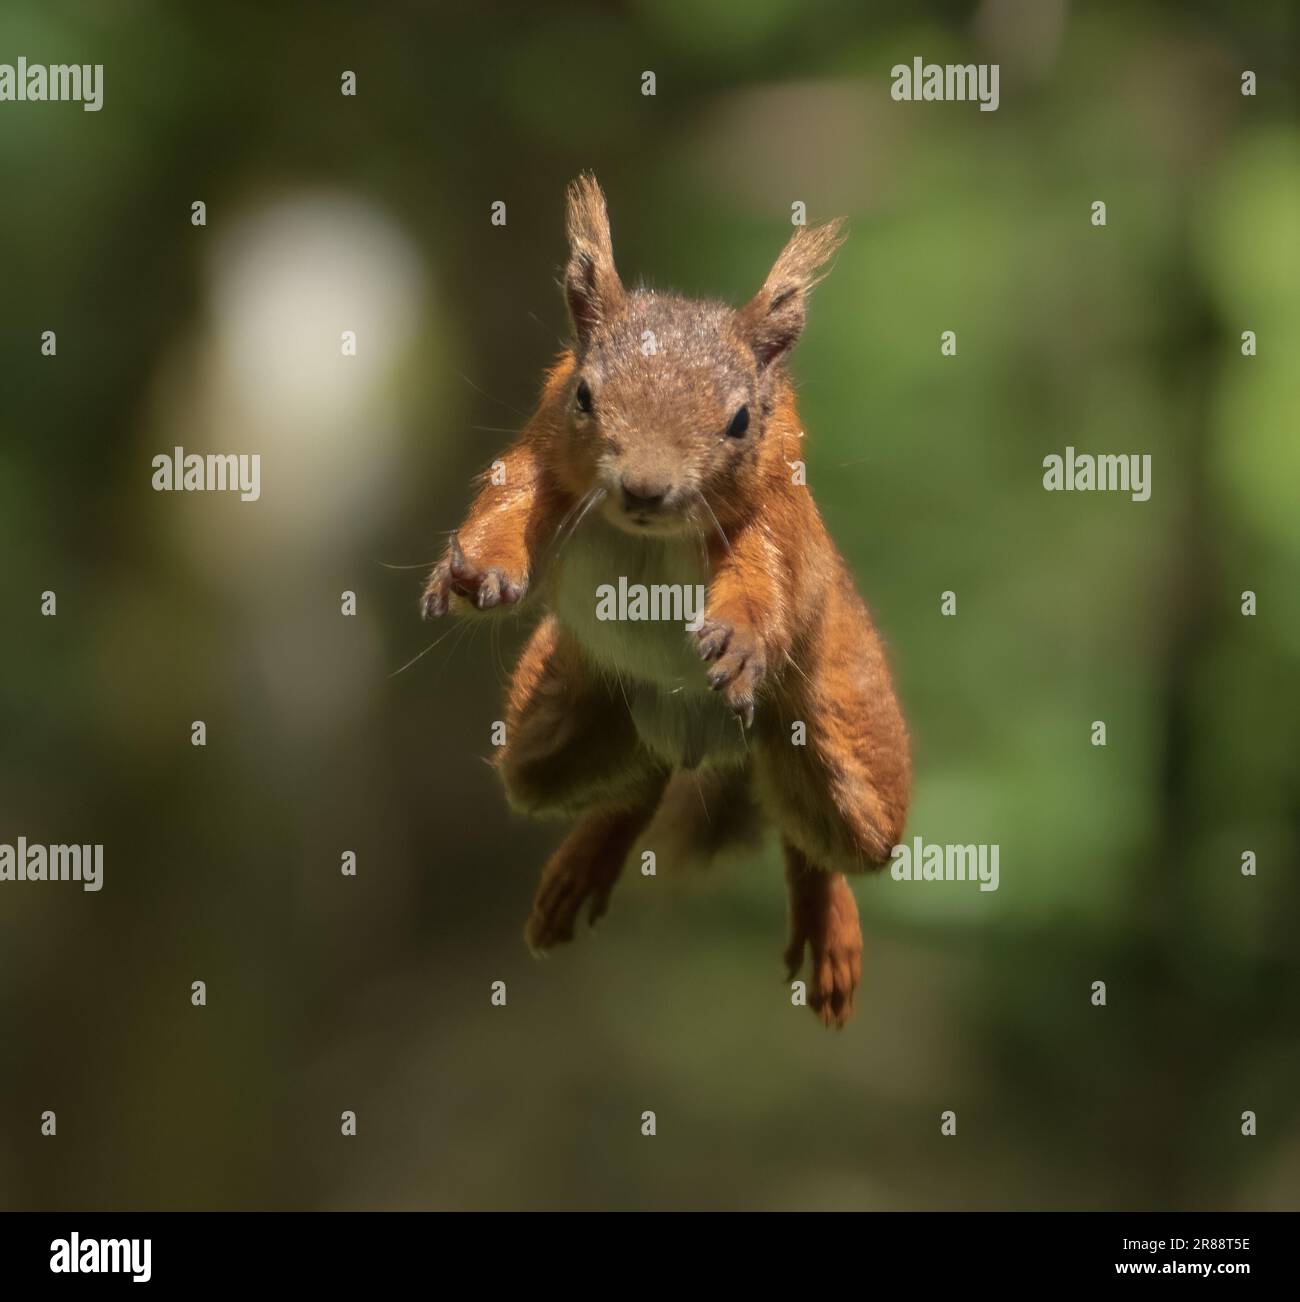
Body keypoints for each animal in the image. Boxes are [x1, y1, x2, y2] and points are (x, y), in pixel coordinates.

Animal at [422, 175, 910, 1027]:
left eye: (741, 419)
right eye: (584, 395)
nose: (644, 490)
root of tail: (711, 749)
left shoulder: (771, 518)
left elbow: (763, 582)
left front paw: (740, 639)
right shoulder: (542, 458)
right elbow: (507, 509)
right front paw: (476, 574)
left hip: (848, 731)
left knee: (820, 837)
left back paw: (829, 926)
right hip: (560, 721)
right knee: (632, 781)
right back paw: (587, 860)